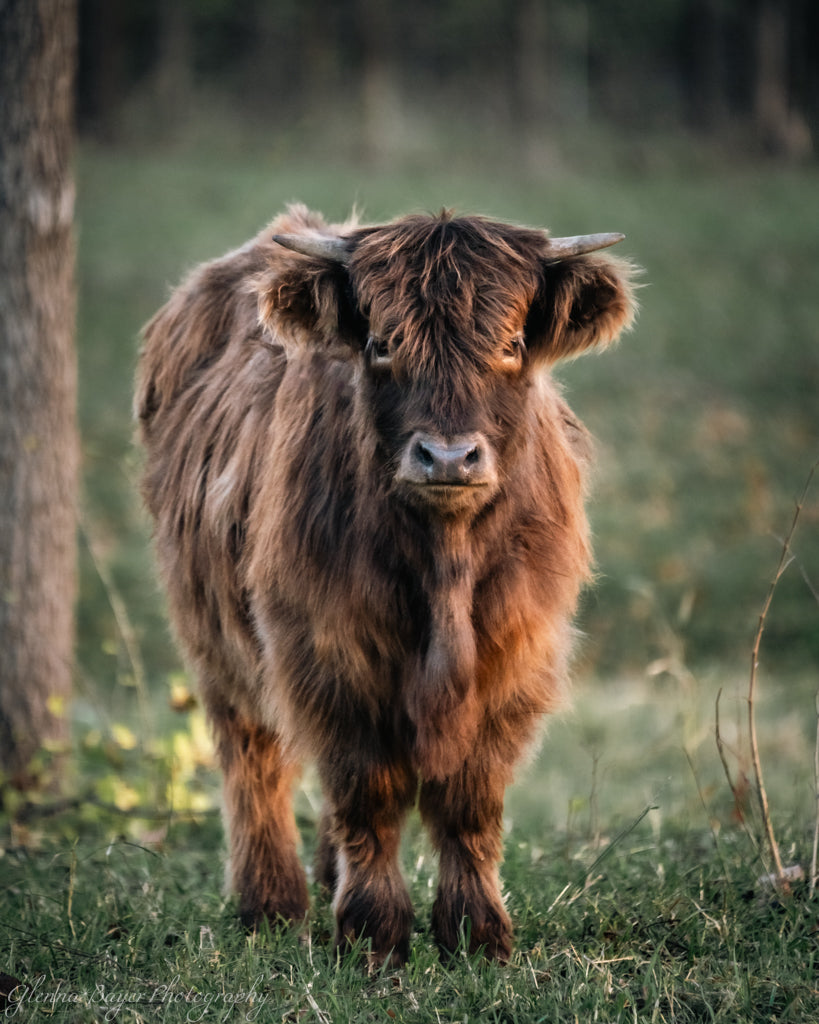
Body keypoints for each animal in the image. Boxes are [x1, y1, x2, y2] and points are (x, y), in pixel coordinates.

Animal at [135, 203, 635, 967]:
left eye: (513, 342)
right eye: (379, 343)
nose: (448, 457)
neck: (444, 572)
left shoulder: (516, 657)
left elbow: (469, 803)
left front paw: (477, 934)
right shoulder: (329, 651)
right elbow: (367, 791)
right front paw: (373, 935)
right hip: (214, 634)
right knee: (253, 758)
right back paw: (271, 904)